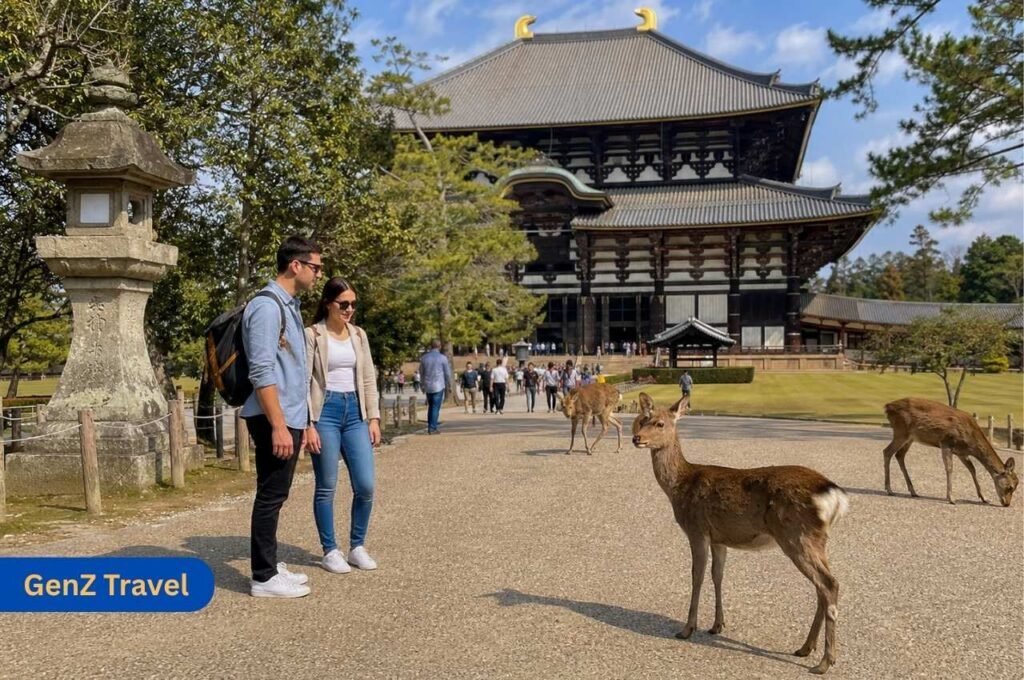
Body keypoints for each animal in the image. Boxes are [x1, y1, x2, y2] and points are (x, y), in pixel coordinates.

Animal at [631, 392, 849, 675]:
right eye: (642, 419)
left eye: (659, 423)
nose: (636, 438)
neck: (679, 486)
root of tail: (833, 494)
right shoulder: (719, 538)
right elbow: (718, 575)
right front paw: (717, 625)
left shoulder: (696, 528)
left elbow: (697, 576)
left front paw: (687, 629)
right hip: (817, 539)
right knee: (823, 586)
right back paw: (805, 648)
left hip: (795, 535)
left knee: (829, 584)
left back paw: (824, 661)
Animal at [883, 397, 1019, 506]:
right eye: (1010, 487)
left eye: (1015, 487)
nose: (1007, 504)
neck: (971, 441)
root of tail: (887, 407)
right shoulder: (947, 442)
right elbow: (949, 468)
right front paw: (951, 498)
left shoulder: (961, 453)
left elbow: (972, 469)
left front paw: (984, 498)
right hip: (901, 431)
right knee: (887, 451)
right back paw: (889, 489)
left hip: (911, 437)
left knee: (899, 455)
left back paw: (913, 491)